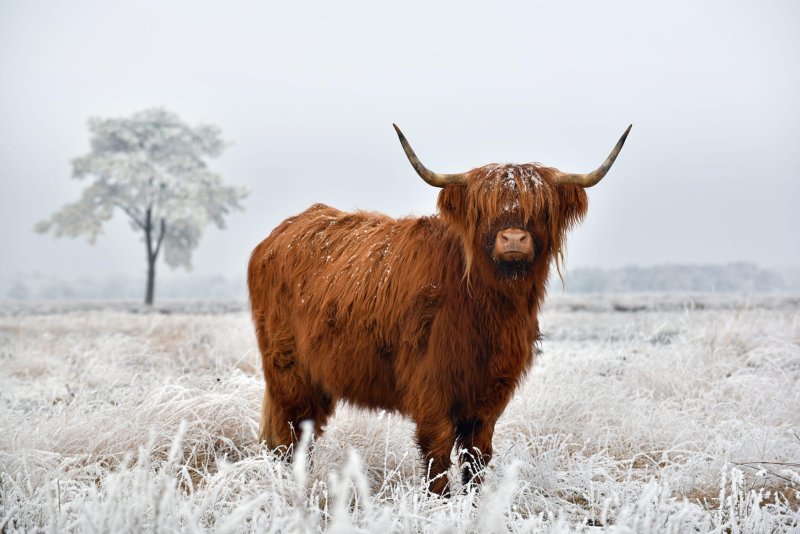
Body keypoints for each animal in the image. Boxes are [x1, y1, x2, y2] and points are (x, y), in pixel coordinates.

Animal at [248, 123, 632, 496]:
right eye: (483, 209)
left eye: (540, 208)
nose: (512, 239)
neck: (488, 309)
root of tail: (278, 234)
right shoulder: (430, 384)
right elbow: (438, 451)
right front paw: (440, 502)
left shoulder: (491, 393)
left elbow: (477, 455)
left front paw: (475, 501)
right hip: (288, 372)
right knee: (290, 435)